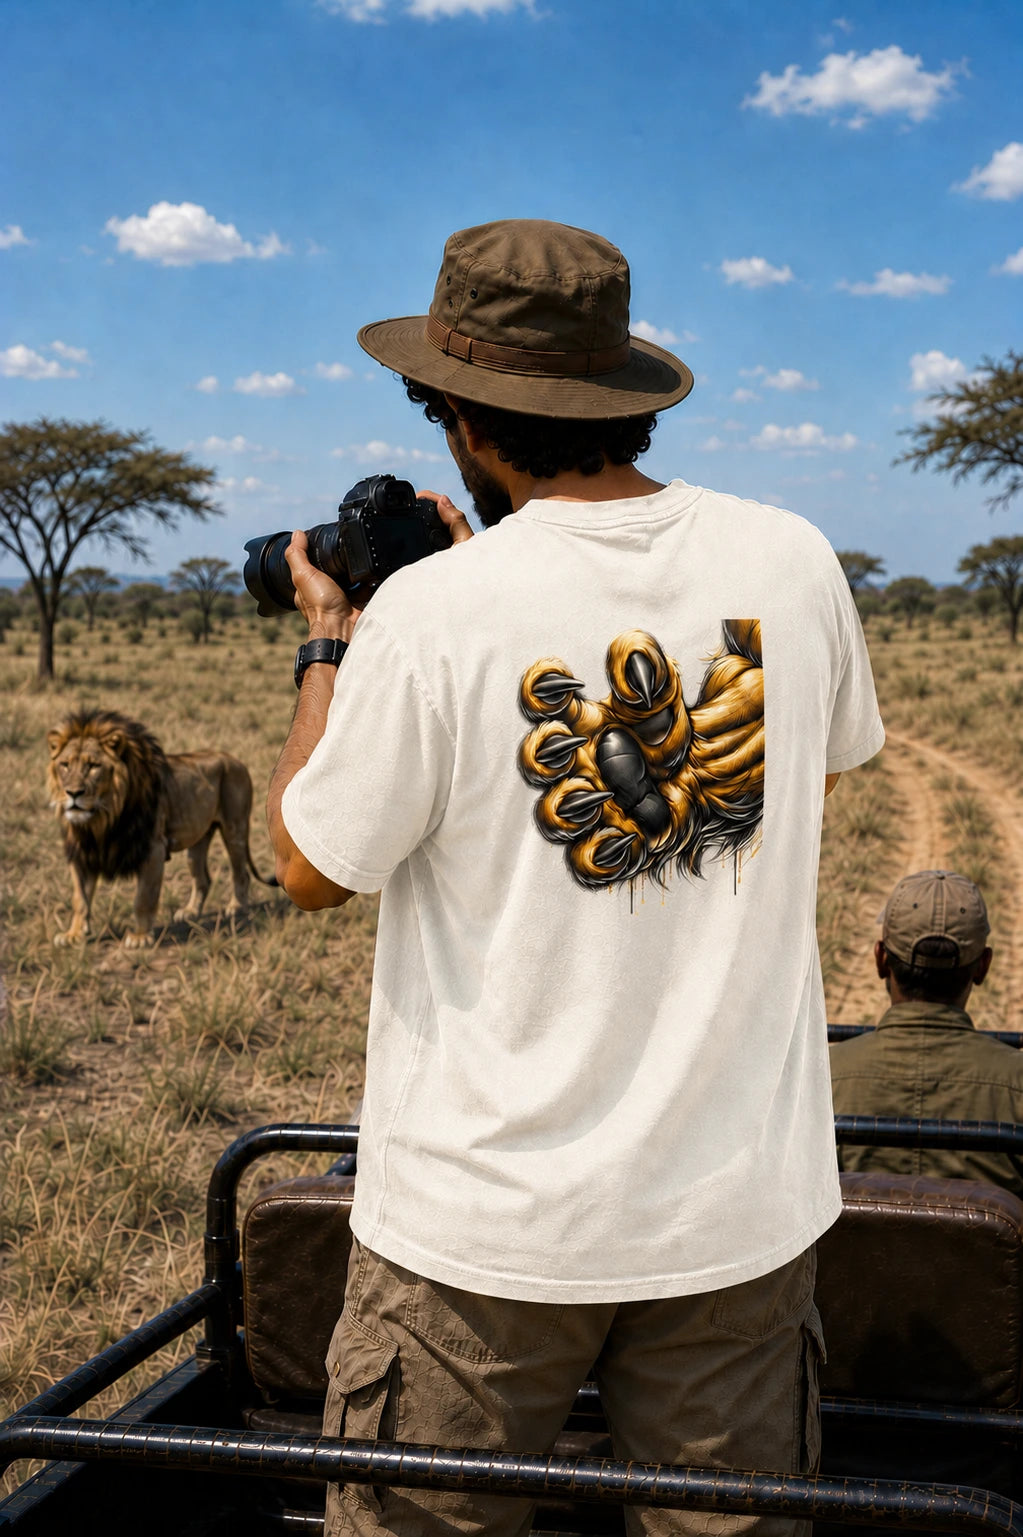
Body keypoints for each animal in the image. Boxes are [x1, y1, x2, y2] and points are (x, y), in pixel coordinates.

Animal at [47, 708, 276, 948]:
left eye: (93, 766)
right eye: (65, 765)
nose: (73, 793)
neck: (101, 819)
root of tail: (235, 759)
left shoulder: (153, 849)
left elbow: (144, 897)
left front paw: (139, 938)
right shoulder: (83, 852)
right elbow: (80, 899)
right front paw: (73, 935)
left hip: (235, 829)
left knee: (241, 873)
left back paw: (236, 907)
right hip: (198, 841)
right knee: (203, 878)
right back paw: (190, 912)